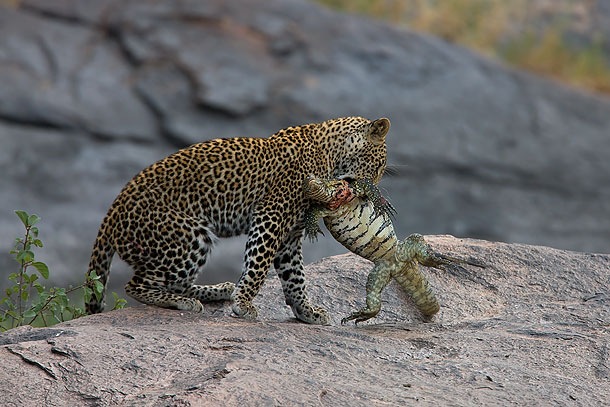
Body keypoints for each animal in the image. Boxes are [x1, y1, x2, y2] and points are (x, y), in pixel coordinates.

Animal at [84, 115, 390, 326]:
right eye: (377, 167)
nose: (369, 196)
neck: (330, 153)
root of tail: (111, 213)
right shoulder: (271, 215)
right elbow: (258, 265)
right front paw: (243, 303)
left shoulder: (290, 235)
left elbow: (295, 276)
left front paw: (306, 311)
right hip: (188, 236)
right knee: (137, 286)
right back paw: (185, 302)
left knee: (172, 282)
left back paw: (218, 290)